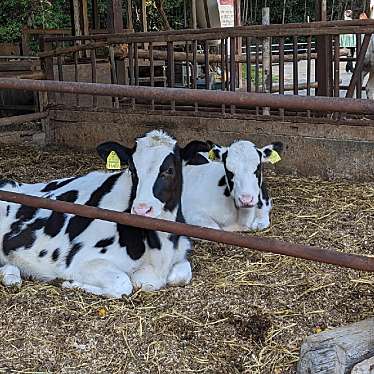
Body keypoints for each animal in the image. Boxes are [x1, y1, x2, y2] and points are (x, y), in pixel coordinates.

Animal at [0, 130, 199, 296]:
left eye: (170, 170)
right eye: (132, 169)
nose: (141, 209)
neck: (161, 250)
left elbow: (182, 274)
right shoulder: (80, 261)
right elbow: (123, 284)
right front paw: (71, 283)